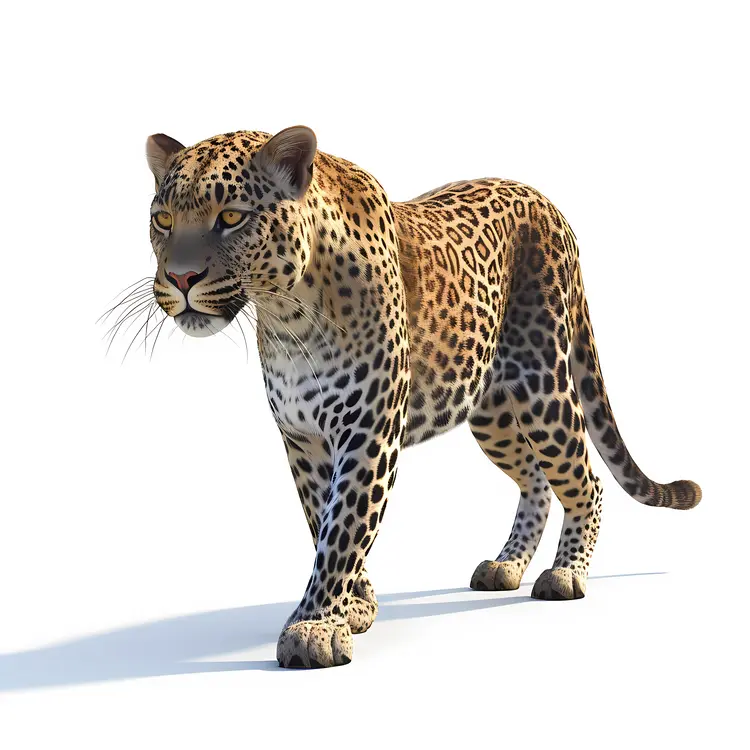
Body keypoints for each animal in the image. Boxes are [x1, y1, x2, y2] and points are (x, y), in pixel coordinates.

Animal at [137, 126, 701, 669]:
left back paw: (566, 574)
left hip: (545, 388)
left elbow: (343, 530)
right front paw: (355, 608)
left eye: (231, 217)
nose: (180, 278)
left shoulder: (368, 432)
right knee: (536, 480)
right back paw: (507, 565)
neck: (287, 315)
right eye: (163, 220)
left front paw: (313, 628)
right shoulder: (303, 440)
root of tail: (545, 202)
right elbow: (322, 520)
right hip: (491, 412)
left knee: (586, 479)